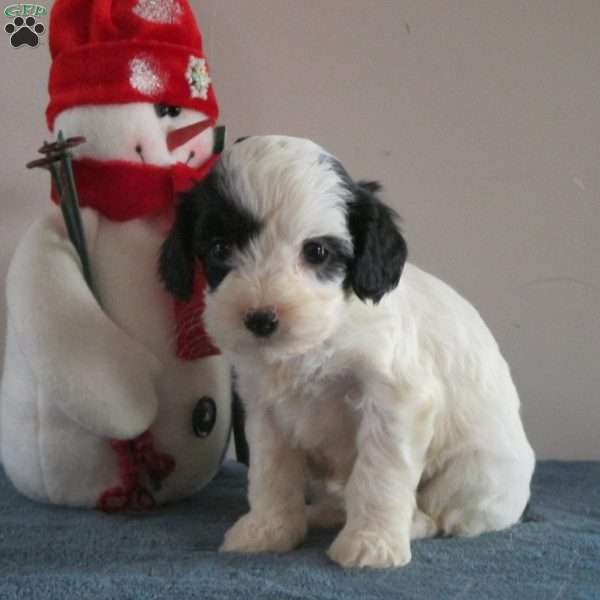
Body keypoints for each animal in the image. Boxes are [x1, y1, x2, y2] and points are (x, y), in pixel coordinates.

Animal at [158, 135, 536, 568]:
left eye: (317, 252)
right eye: (220, 249)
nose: (260, 319)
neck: (318, 339)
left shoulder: (395, 398)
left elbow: (379, 473)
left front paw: (372, 542)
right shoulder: (264, 409)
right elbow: (270, 473)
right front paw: (268, 530)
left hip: (472, 474)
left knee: (444, 515)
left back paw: (411, 523)